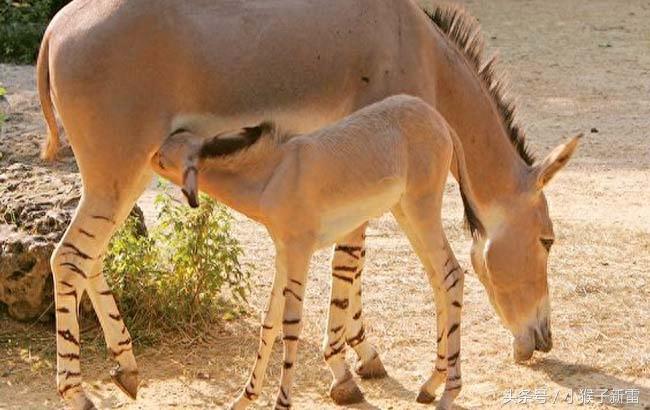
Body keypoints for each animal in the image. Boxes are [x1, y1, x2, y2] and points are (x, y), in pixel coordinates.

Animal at [152, 93, 484, 410]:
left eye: (164, 159)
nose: (149, 156)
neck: (273, 175)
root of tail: (438, 119)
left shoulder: (299, 253)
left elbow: (290, 324)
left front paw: (282, 403)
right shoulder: (283, 256)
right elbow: (268, 323)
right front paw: (244, 399)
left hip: (421, 209)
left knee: (452, 275)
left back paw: (449, 393)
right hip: (405, 212)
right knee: (438, 280)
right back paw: (431, 385)